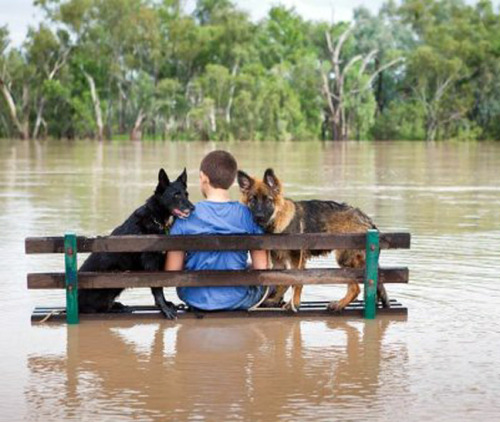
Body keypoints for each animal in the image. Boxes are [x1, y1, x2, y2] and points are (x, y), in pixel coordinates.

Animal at [79, 168, 194, 320]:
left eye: (186, 194)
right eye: (176, 195)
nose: (193, 208)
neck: (156, 219)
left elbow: (161, 283)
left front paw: (165, 304)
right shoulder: (151, 263)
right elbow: (157, 288)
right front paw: (164, 307)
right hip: (113, 278)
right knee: (95, 309)